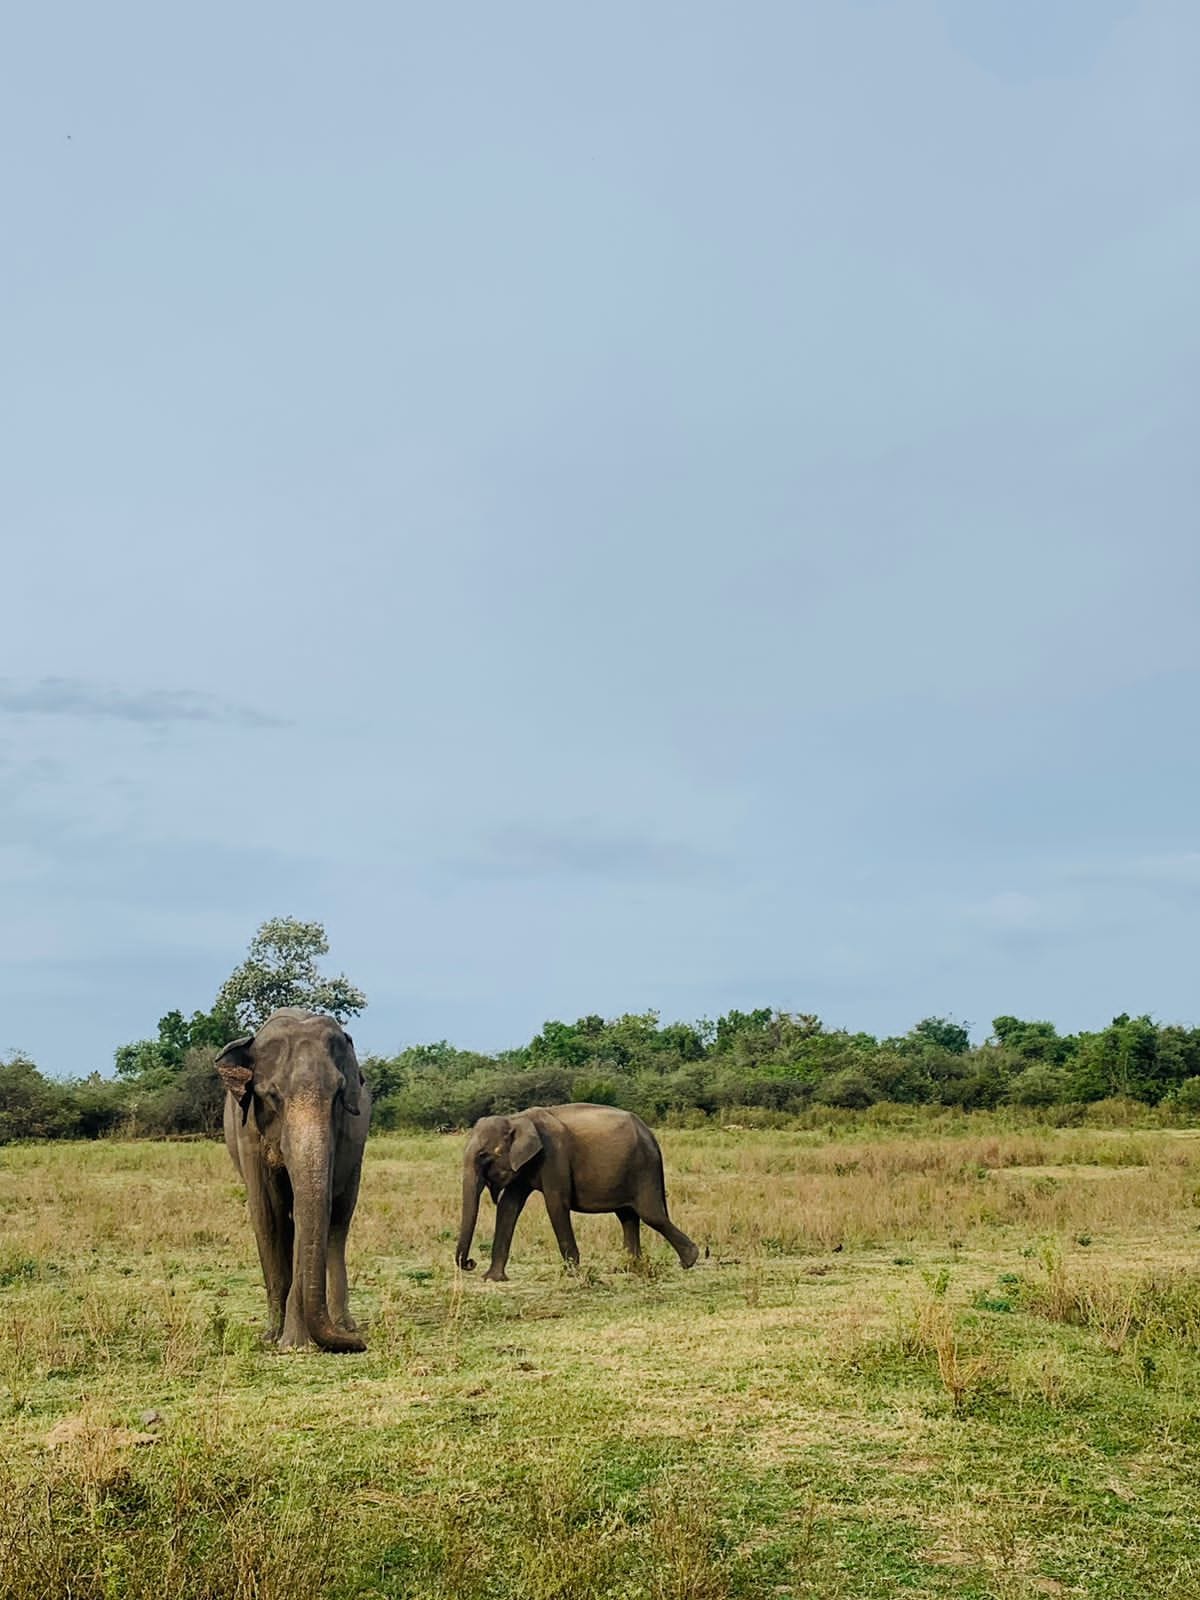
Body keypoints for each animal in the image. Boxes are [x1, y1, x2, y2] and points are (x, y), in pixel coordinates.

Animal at [216, 1007, 371, 1352]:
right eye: (272, 1095)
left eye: (338, 1095)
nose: (359, 1344)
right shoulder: (247, 1131)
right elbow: (268, 1214)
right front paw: (274, 1337)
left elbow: (310, 1212)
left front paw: (296, 1344)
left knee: (339, 1223)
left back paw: (343, 1323)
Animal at [455, 1103, 699, 1282]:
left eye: (483, 1156)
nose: (470, 1263)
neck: (516, 1118)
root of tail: (651, 1135)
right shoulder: (523, 1165)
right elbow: (509, 1207)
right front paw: (492, 1278)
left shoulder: (553, 1156)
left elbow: (555, 1204)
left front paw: (572, 1272)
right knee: (627, 1216)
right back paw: (629, 1267)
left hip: (644, 1168)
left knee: (651, 1214)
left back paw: (689, 1260)